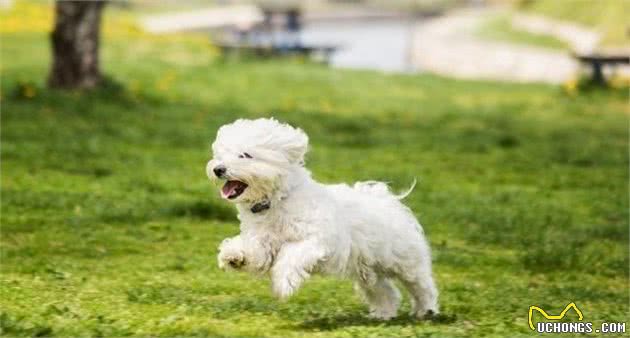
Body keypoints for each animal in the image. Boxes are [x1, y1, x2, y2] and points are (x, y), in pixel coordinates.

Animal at [207, 119, 440, 320]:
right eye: (220, 154)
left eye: (245, 155)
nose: (218, 169)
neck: (278, 200)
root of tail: (386, 201)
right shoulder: (263, 241)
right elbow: (253, 251)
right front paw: (233, 255)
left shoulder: (315, 240)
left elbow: (291, 255)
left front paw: (283, 283)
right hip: (366, 268)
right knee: (383, 290)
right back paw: (384, 313)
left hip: (404, 260)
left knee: (421, 284)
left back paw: (426, 310)